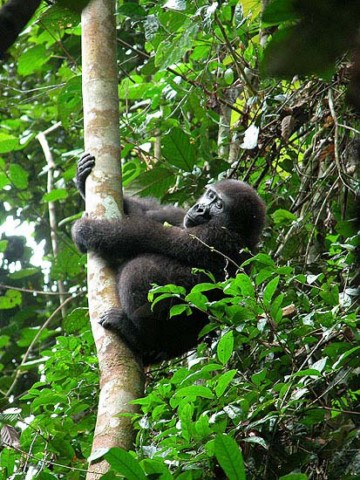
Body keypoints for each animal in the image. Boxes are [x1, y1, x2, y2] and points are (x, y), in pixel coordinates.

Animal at [72, 154, 264, 364]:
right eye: (211, 196)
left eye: (219, 206)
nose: (200, 208)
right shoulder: (182, 216)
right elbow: (146, 214)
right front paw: (81, 179)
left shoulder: (213, 236)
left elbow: (147, 236)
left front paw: (87, 230)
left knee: (140, 267)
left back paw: (139, 337)